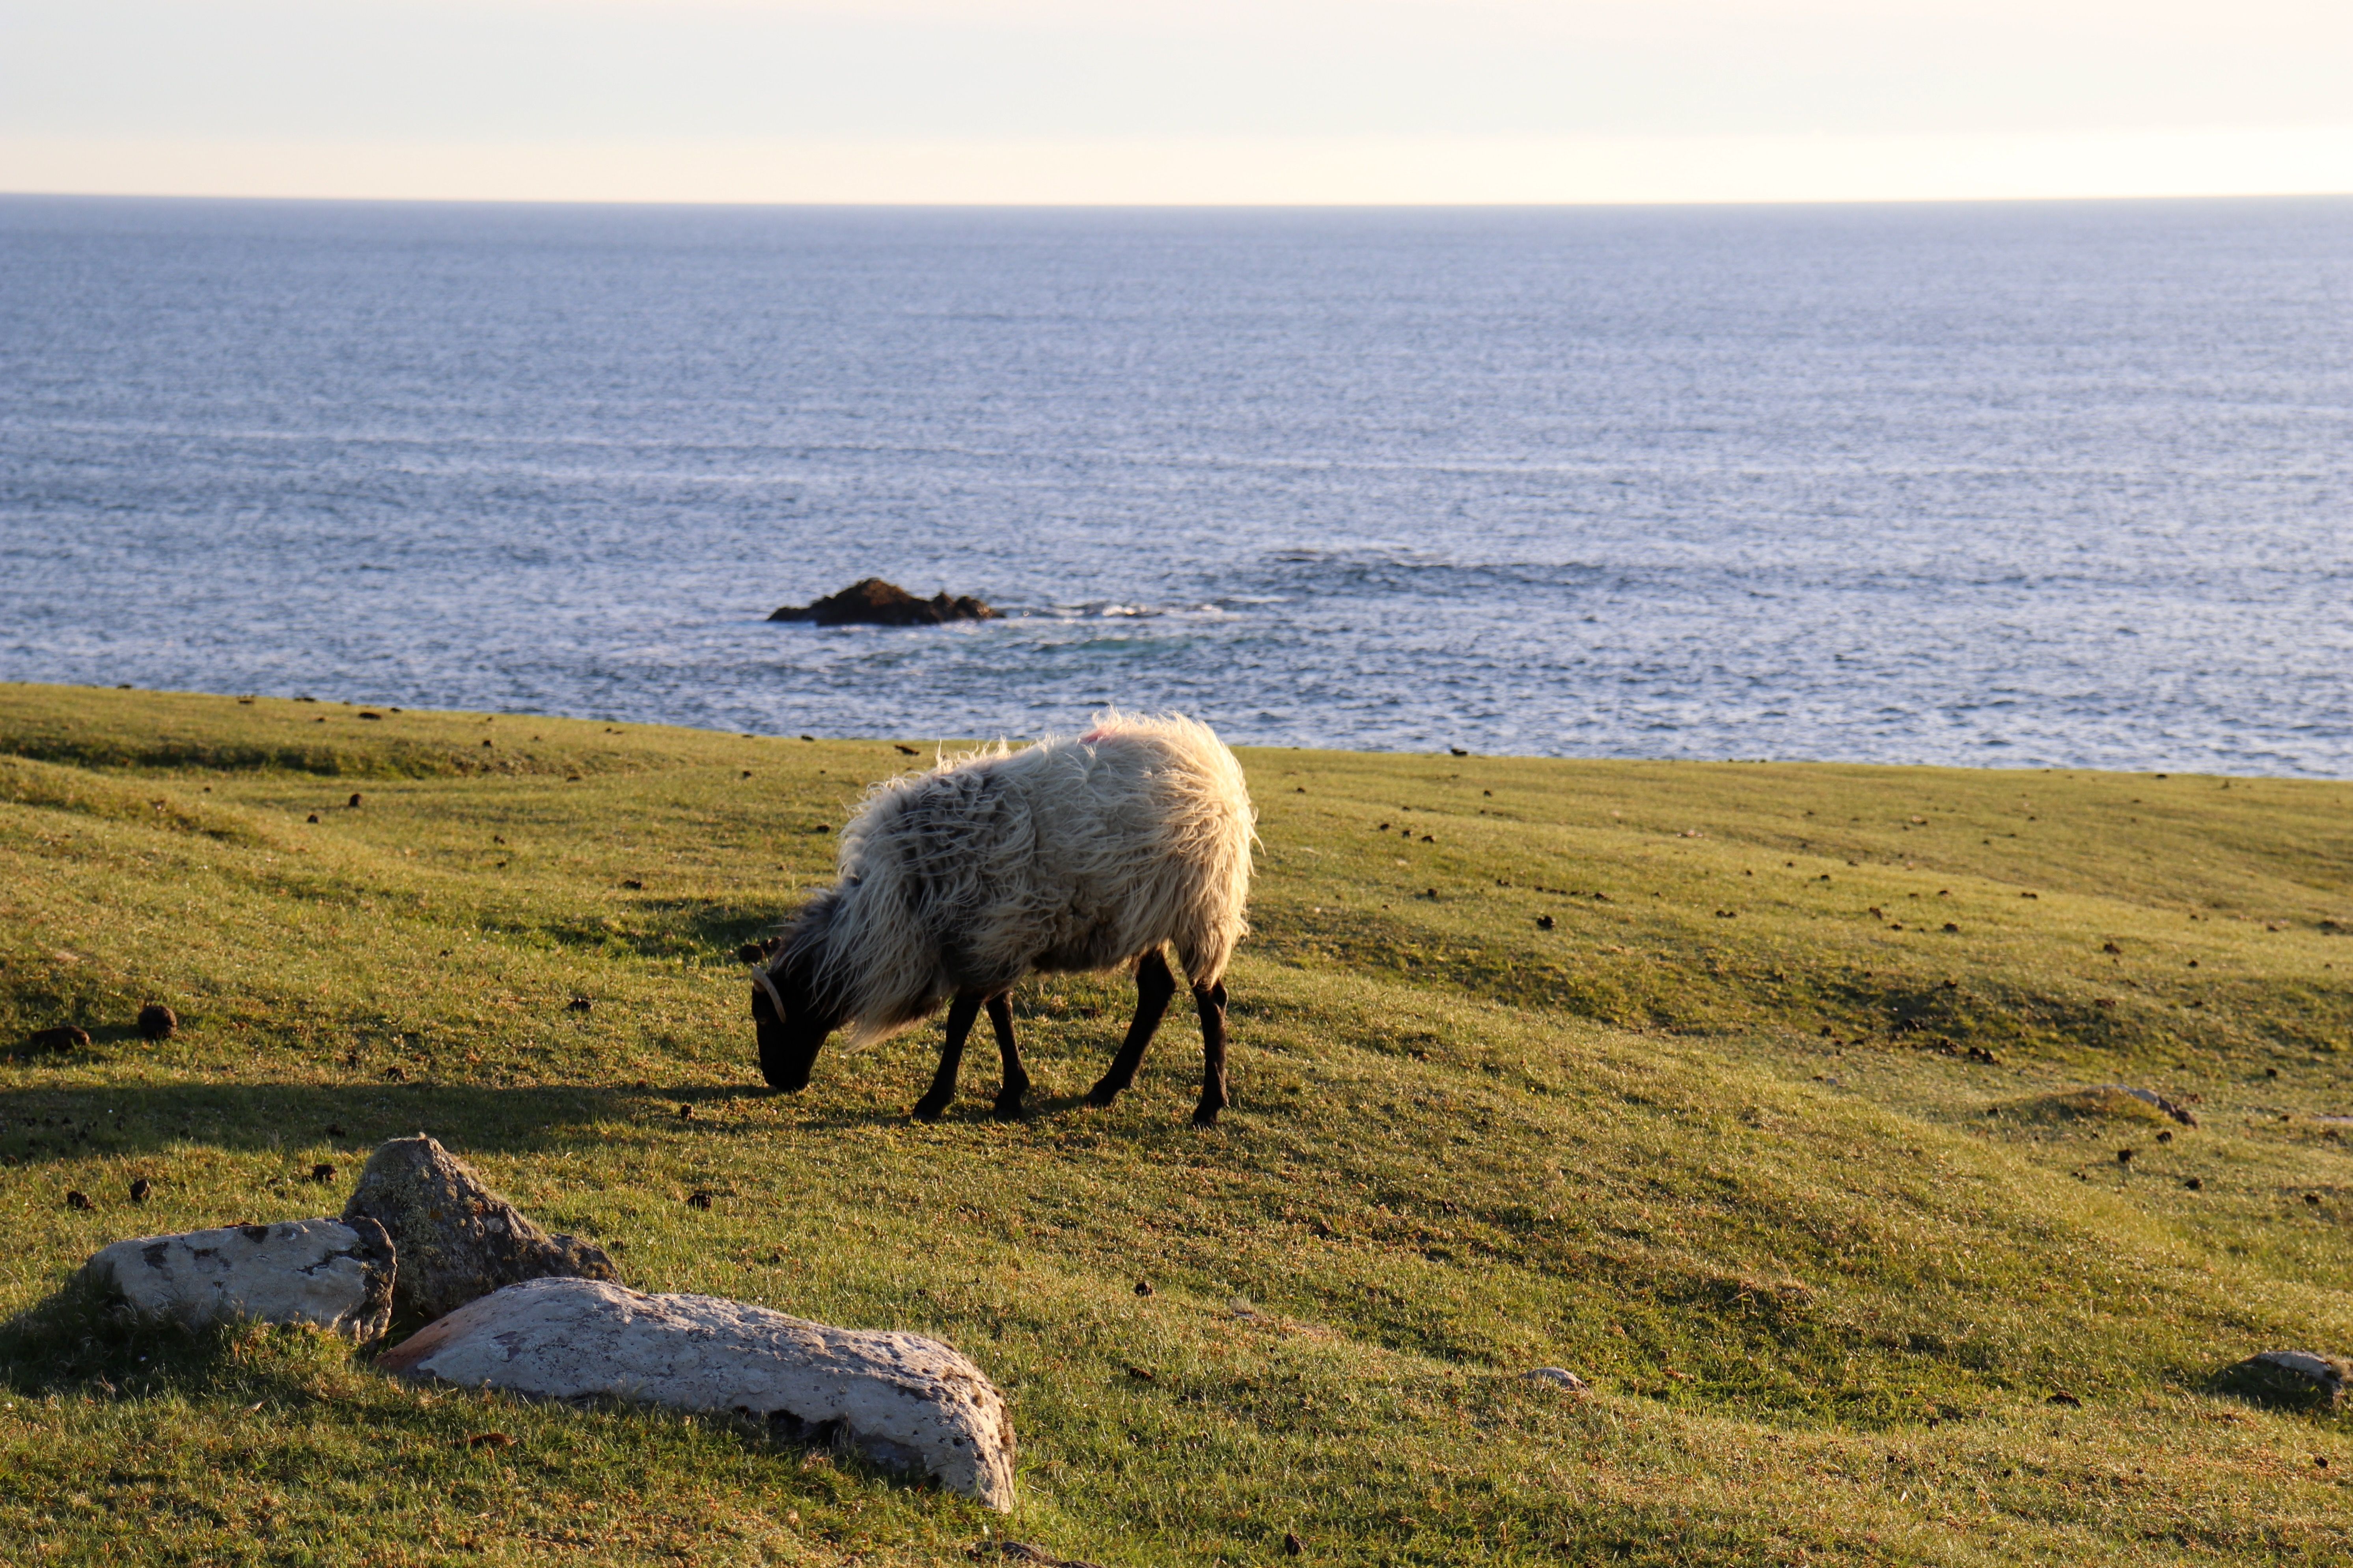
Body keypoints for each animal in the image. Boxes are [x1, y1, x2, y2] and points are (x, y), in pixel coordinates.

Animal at [746, 712, 1256, 1126]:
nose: (777, 1081)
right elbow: (999, 1011)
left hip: (1202, 909)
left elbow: (962, 1020)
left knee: (1211, 1000)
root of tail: (1208, 761)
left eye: (767, 1021)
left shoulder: (992, 936)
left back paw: (1209, 1106)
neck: (899, 904)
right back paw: (1108, 1088)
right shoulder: (995, 937)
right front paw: (1012, 1093)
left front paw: (935, 1099)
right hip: (1143, 913)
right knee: (1156, 992)